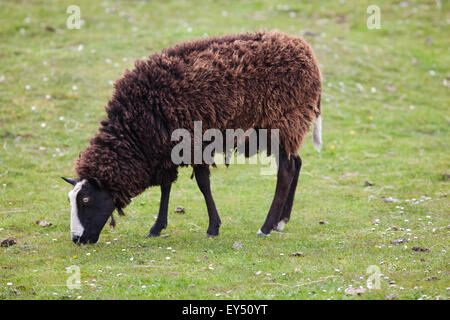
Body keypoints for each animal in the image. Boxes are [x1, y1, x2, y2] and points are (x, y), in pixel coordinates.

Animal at [61, 31, 322, 244]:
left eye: (86, 201)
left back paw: (266, 227)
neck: (135, 136)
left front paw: (213, 227)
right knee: (295, 163)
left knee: (285, 171)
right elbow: (166, 185)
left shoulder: (193, 142)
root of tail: (306, 52)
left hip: (283, 121)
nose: (77, 239)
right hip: (287, 126)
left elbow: (203, 183)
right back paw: (281, 221)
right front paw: (157, 228)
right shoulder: (165, 150)